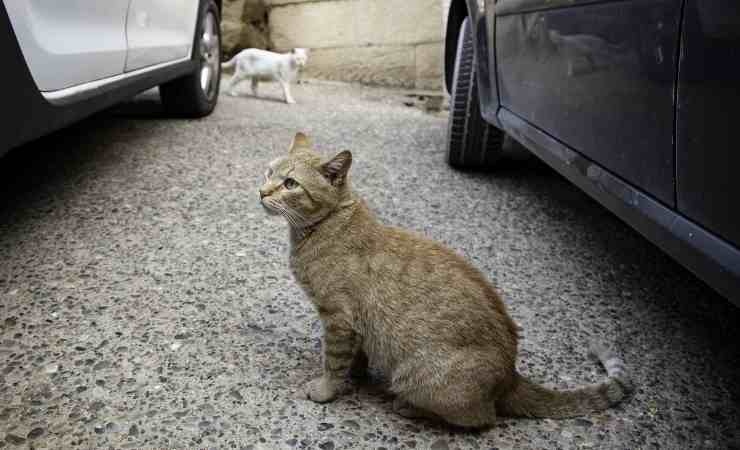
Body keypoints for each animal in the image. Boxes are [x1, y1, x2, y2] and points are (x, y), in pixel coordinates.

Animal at [258, 132, 632, 428]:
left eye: (290, 184)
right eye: (269, 171)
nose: (262, 191)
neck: (327, 224)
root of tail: (510, 375)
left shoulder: (338, 318)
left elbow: (333, 363)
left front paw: (327, 389)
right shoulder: (356, 327)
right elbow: (355, 357)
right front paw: (357, 375)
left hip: (419, 379)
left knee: (484, 419)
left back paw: (409, 407)